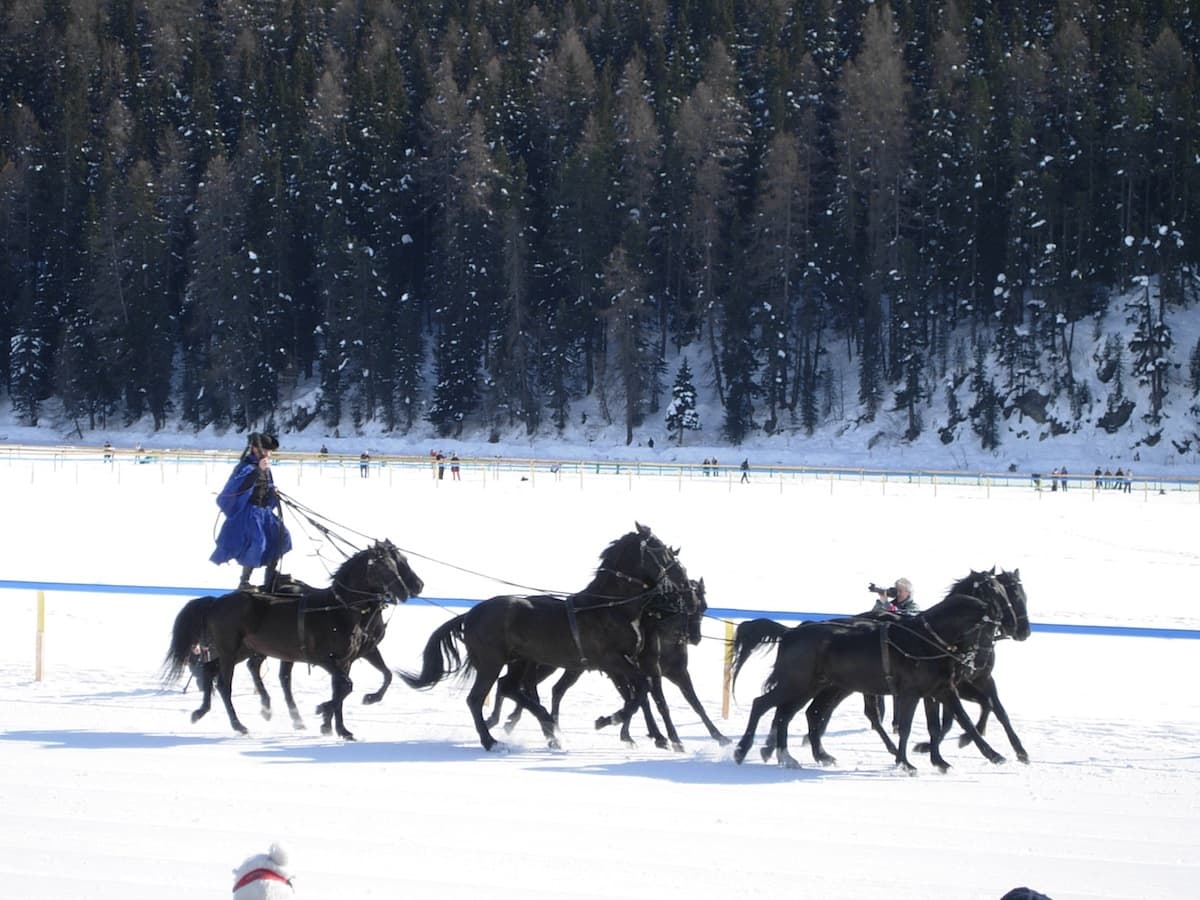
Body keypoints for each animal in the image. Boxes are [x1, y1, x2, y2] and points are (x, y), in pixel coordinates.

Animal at [163, 542, 427, 739]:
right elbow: (346, 686)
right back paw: (239, 725)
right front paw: (324, 711)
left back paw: (201, 712)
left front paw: (340, 728)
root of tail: (216, 601)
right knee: (224, 684)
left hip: (243, 650)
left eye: (397, 564)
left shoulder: (347, 660)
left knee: (210, 670)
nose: (409, 589)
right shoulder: (325, 659)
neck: (339, 609)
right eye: (383, 568)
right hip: (230, 650)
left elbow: (347, 687)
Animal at [398, 525, 691, 748]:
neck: (609, 607)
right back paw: (493, 741)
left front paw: (626, 727)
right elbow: (641, 690)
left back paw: (548, 727)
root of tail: (470, 614)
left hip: (520, 661)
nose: (681, 582)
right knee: (478, 698)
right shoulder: (612, 661)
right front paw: (611, 721)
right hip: (492, 663)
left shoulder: (621, 663)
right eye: (661, 550)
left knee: (510, 688)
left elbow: (639, 692)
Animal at [482, 580, 724, 748]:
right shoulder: (637, 672)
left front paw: (718, 736)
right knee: (520, 684)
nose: (692, 638)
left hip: (567, 668)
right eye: (682, 602)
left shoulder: (675, 673)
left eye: (702, 606)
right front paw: (663, 737)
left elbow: (691, 703)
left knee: (542, 688)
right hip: (547, 664)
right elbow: (650, 702)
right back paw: (508, 719)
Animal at [729, 573, 1012, 772]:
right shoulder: (911, 693)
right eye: (986, 626)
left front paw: (977, 757)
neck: (924, 640)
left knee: (791, 714)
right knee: (763, 705)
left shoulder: (939, 691)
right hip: (798, 684)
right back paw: (743, 750)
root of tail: (791, 632)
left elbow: (957, 723)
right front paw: (905, 763)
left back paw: (793, 756)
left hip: (814, 687)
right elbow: (907, 727)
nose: (980, 661)